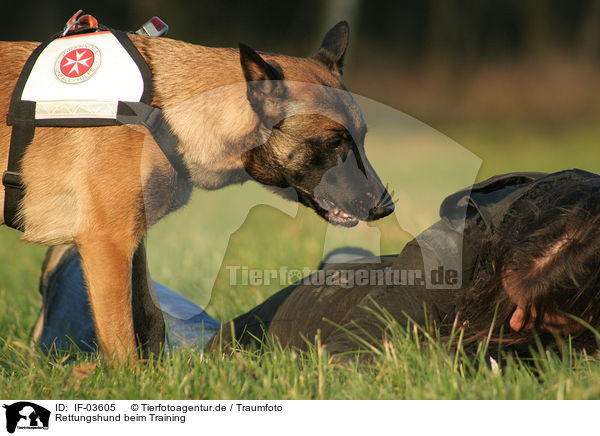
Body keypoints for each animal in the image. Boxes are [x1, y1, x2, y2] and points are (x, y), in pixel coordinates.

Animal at [0, 21, 394, 362]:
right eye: (333, 142)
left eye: (361, 138)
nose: (386, 207)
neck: (163, 111)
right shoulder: (107, 241)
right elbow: (122, 339)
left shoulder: (130, 241)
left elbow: (151, 320)